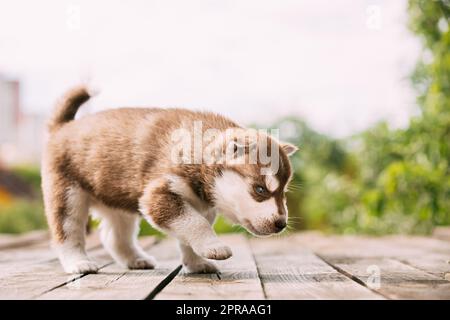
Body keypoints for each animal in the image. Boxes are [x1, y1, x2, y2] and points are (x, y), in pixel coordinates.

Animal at [40, 86, 298, 274]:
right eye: (260, 189)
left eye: (283, 192)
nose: (281, 224)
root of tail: (63, 126)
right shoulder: (159, 196)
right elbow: (196, 224)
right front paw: (214, 247)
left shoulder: (200, 206)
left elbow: (189, 231)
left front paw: (196, 263)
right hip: (68, 195)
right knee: (67, 233)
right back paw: (78, 263)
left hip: (117, 199)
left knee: (115, 237)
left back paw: (136, 259)